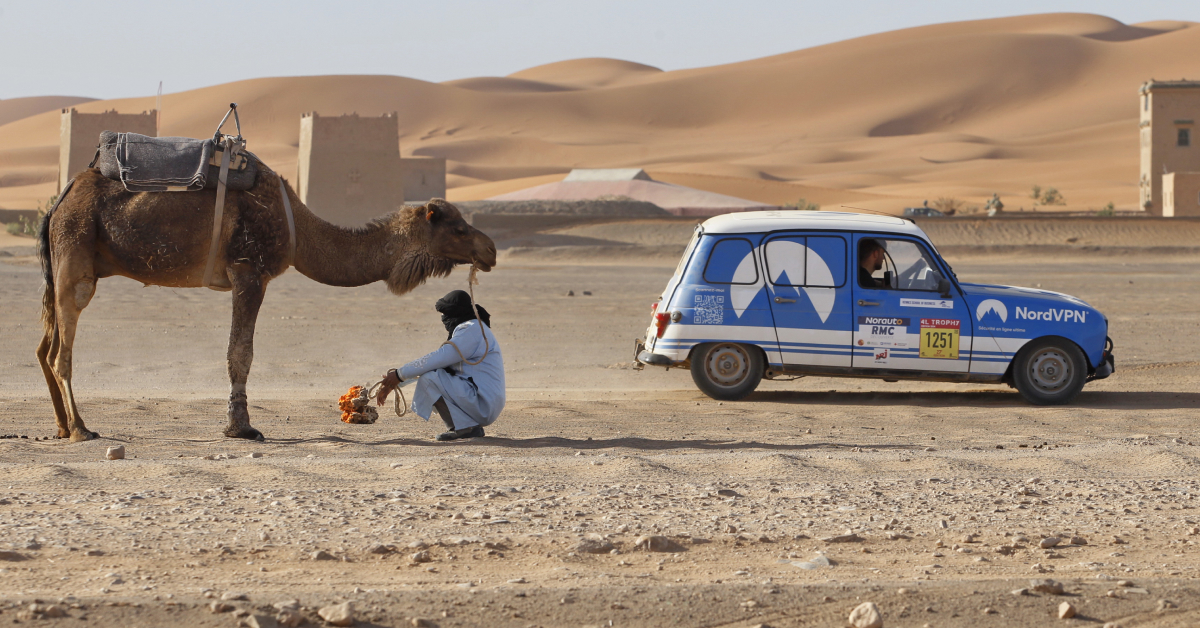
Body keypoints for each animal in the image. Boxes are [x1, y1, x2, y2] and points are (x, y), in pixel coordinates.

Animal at [37, 164, 496, 444]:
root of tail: (58, 203)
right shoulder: (248, 270)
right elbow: (241, 352)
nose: (490, 250)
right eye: (458, 228)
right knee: (61, 352)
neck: (299, 230)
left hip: (68, 262)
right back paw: (80, 429)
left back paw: (61, 426)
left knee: (45, 347)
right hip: (76, 252)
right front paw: (241, 428)